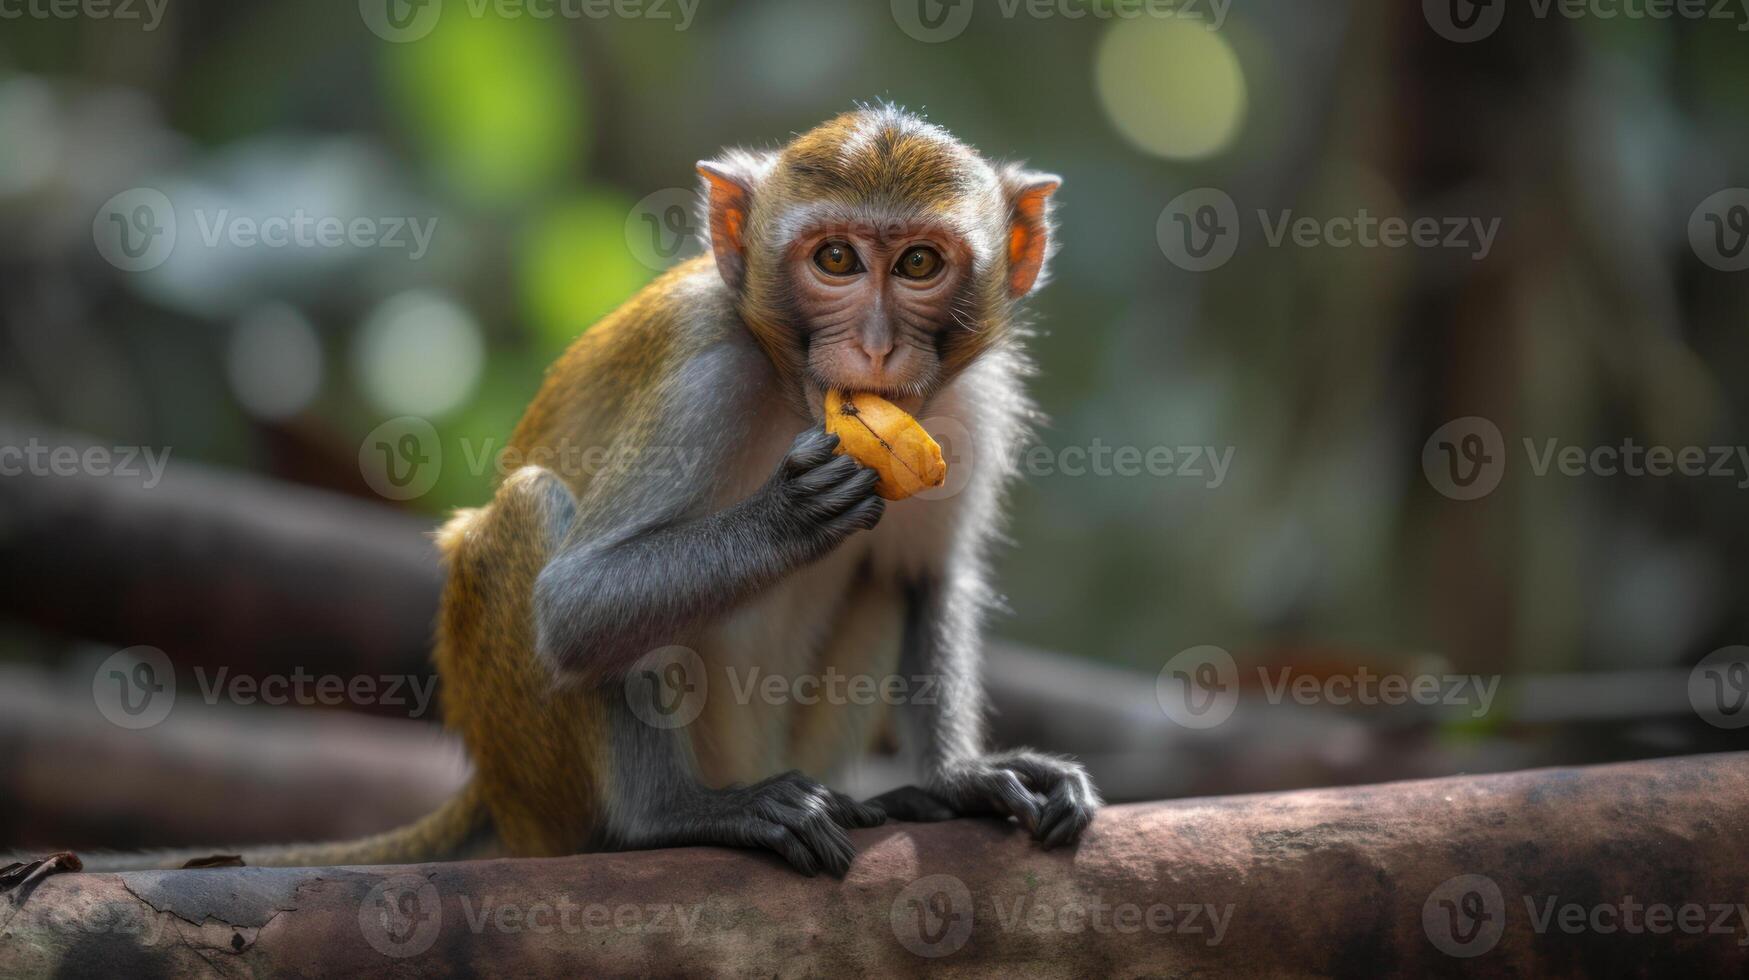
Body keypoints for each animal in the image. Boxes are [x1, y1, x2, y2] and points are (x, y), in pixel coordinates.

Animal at [75, 105, 1105, 871]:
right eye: (837, 260)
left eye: (919, 263)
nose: (879, 349)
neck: (789, 390)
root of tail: (491, 790)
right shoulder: (707, 381)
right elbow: (576, 606)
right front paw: (791, 514)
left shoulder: (967, 410)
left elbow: (924, 579)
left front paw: (962, 778)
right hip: (547, 790)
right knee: (531, 518)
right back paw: (669, 819)